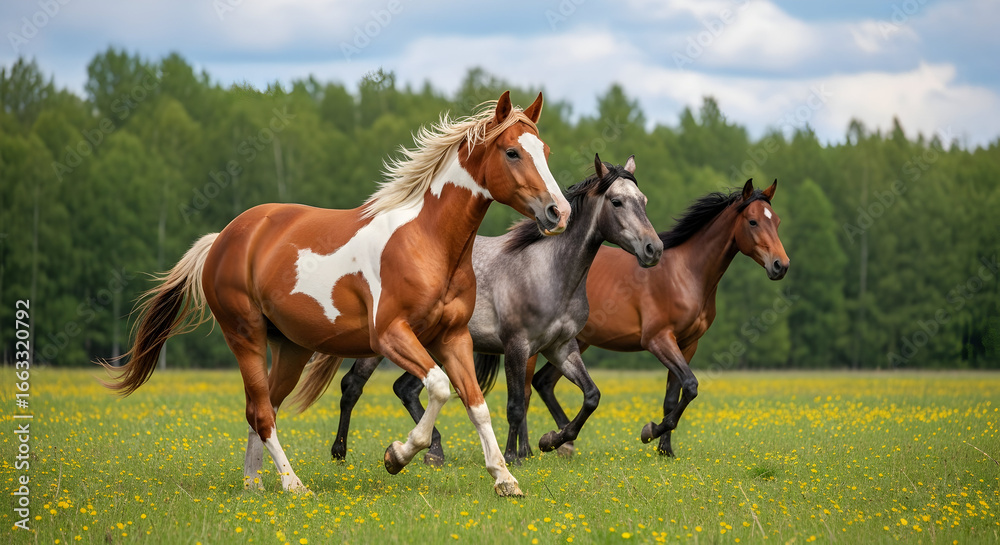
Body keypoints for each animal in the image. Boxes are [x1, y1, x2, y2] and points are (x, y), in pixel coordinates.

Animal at [99, 91, 572, 497]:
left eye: (546, 151)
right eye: (512, 152)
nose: (559, 212)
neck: (426, 242)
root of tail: (224, 238)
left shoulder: (453, 337)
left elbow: (476, 404)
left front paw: (505, 478)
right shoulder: (391, 336)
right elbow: (438, 388)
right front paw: (397, 455)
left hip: (290, 348)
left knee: (261, 407)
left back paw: (254, 485)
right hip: (245, 335)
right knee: (263, 412)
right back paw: (293, 484)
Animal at [310, 154, 663, 465]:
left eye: (643, 200)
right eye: (616, 202)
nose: (653, 249)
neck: (549, 271)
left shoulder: (561, 348)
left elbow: (591, 396)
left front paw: (552, 440)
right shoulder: (517, 346)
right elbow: (515, 405)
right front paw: (513, 456)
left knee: (404, 388)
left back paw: (434, 451)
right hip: (383, 344)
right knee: (353, 385)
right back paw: (340, 452)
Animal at [529, 179, 789, 457]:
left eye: (777, 221)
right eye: (753, 221)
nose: (780, 265)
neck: (684, 273)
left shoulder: (687, 344)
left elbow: (674, 397)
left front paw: (666, 451)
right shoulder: (658, 340)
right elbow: (691, 384)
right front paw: (650, 431)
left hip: (574, 342)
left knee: (543, 382)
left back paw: (559, 441)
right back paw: (527, 451)